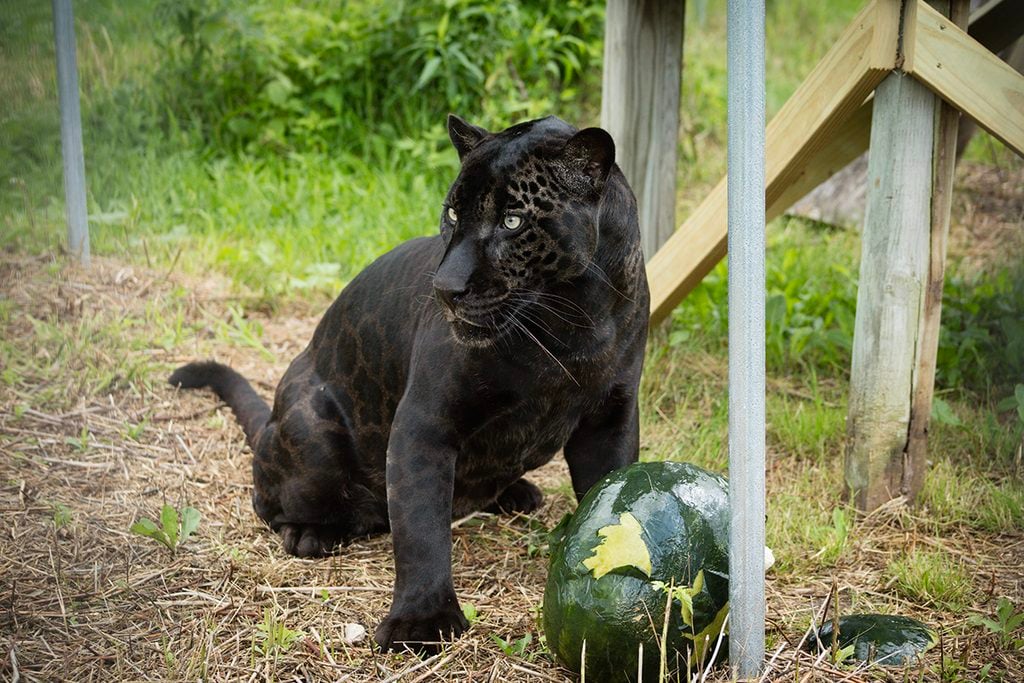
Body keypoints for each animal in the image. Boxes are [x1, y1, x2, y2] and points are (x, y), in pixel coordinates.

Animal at [169, 114, 649, 651]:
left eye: (512, 221)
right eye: (453, 213)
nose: (445, 289)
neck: (573, 322)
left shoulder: (610, 420)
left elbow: (609, 499)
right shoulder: (426, 421)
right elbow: (420, 527)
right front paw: (421, 621)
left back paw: (515, 493)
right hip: (311, 433)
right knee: (271, 496)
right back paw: (310, 533)